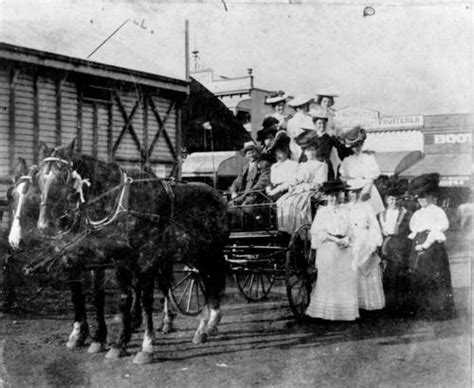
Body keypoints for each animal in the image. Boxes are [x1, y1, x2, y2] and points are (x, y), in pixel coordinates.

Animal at [29, 142, 230, 364]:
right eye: (39, 178)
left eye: (63, 177)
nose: (44, 226)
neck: (119, 203)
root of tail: (219, 197)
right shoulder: (103, 259)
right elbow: (102, 296)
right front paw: (106, 340)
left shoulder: (144, 259)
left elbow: (141, 299)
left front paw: (145, 346)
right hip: (197, 255)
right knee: (207, 282)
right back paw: (205, 326)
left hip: (209, 253)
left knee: (211, 281)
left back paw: (206, 324)